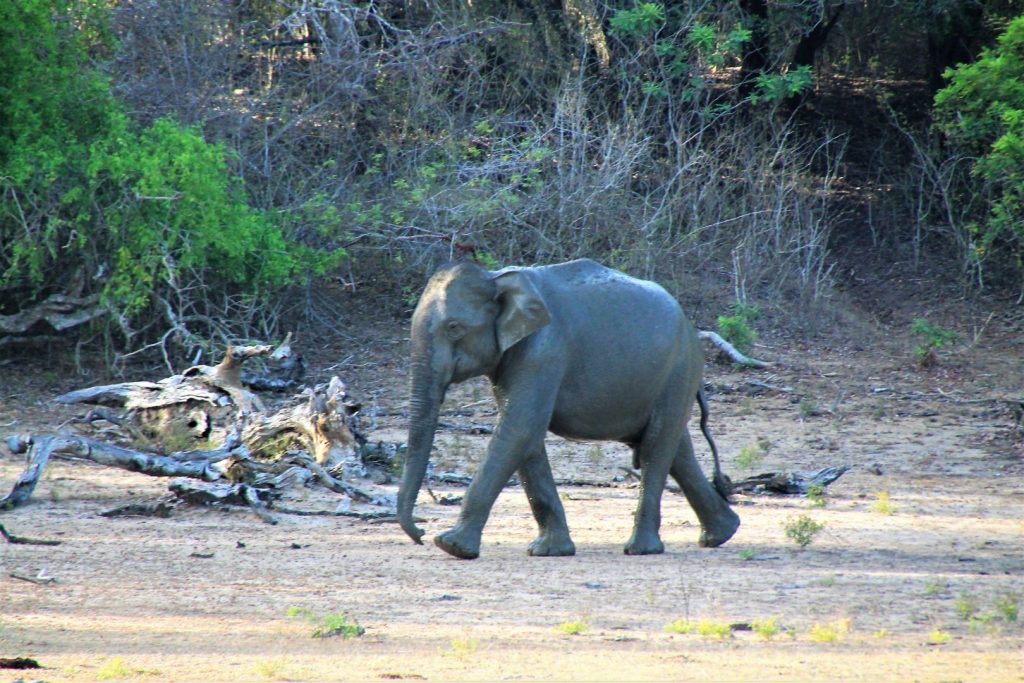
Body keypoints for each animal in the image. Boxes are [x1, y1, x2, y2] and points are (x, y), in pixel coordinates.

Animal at [395, 259, 741, 557]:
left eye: (454, 327)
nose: (422, 534)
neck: (496, 278)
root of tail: (691, 325)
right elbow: (527, 436)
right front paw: (550, 551)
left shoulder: (543, 351)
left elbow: (520, 428)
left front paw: (451, 546)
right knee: (675, 447)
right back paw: (722, 533)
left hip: (680, 367)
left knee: (656, 447)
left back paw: (642, 549)